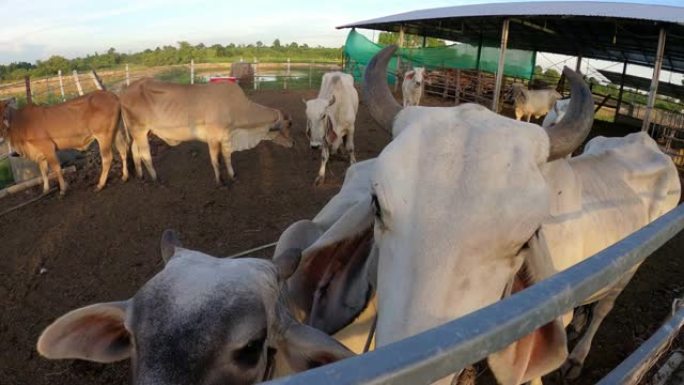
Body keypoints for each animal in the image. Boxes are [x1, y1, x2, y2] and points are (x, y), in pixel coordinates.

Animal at [0, 91, 130, 195]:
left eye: (3, 114)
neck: (21, 123)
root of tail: (113, 95)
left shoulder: (48, 147)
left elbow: (56, 168)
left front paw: (63, 189)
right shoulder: (40, 154)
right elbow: (44, 172)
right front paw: (45, 190)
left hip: (103, 135)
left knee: (107, 158)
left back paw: (100, 184)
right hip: (116, 131)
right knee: (123, 150)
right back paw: (125, 176)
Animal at [119, 78, 294, 183]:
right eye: (287, 126)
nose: (292, 144)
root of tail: (124, 92)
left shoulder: (226, 137)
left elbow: (226, 157)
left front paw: (232, 175)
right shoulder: (213, 138)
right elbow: (215, 160)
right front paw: (220, 181)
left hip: (143, 132)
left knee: (134, 150)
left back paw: (141, 176)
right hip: (140, 130)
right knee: (145, 154)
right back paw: (156, 178)